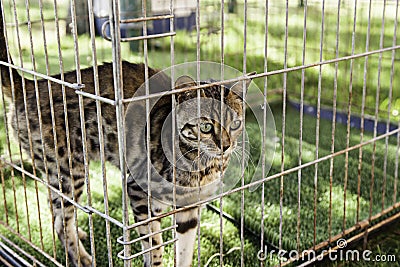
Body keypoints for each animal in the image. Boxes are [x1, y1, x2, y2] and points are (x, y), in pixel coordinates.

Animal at [0, 2, 253, 267]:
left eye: (235, 123)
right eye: (205, 127)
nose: (226, 146)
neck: (203, 166)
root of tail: (30, 85)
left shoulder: (190, 206)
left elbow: (184, 251)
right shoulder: (139, 192)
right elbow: (154, 246)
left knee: (56, 213)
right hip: (68, 170)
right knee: (61, 220)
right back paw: (81, 257)